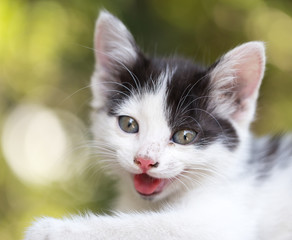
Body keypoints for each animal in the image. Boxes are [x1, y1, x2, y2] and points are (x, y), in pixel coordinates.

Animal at [24, 10, 292, 239]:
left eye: (185, 136)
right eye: (128, 124)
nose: (144, 160)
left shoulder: (226, 219)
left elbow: (149, 225)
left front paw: (48, 230)